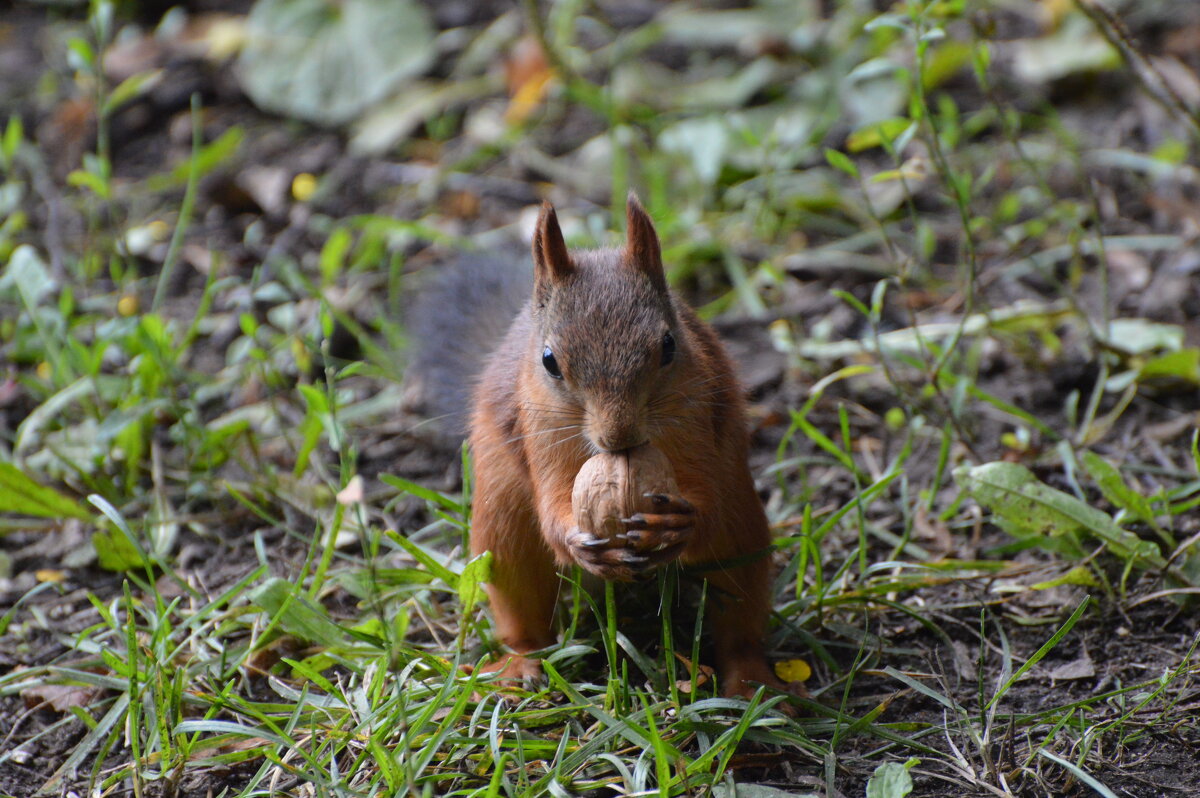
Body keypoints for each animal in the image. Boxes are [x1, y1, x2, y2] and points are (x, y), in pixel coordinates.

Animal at [444, 195, 796, 700]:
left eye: (668, 346)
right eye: (549, 361)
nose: (619, 436)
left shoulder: (695, 414)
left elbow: (703, 489)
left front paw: (680, 523)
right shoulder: (541, 430)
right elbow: (553, 503)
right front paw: (577, 540)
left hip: (742, 529)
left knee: (738, 603)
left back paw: (750, 679)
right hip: (502, 524)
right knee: (518, 599)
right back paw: (519, 666)